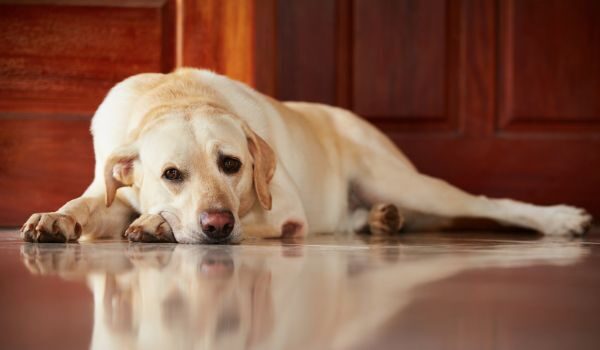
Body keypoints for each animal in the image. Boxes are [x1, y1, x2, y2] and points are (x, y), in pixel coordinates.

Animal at [19, 67, 596, 243]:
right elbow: (87, 204)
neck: (175, 95)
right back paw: (382, 220)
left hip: (401, 179)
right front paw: (55, 218)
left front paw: (158, 225)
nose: (216, 225)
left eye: (232, 164)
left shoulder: (285, 214)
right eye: (171, 174)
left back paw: (560, 219)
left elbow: (256, 220)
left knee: (489, 203)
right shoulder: (110, 191)